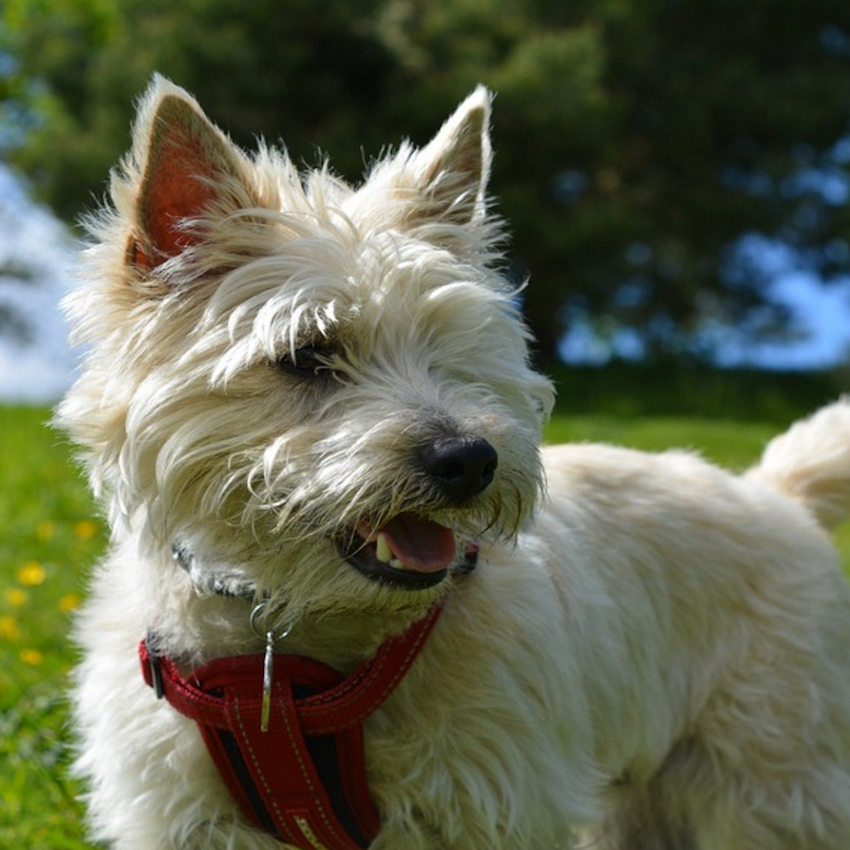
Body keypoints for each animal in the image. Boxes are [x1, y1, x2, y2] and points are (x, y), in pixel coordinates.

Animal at [61, 76, 850, 844]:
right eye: (307, 355)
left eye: (450, 350)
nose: (470, 460)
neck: (288, 651)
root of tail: (774, 492)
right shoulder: (185, 816)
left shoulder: (492, 800)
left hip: (768, 780)